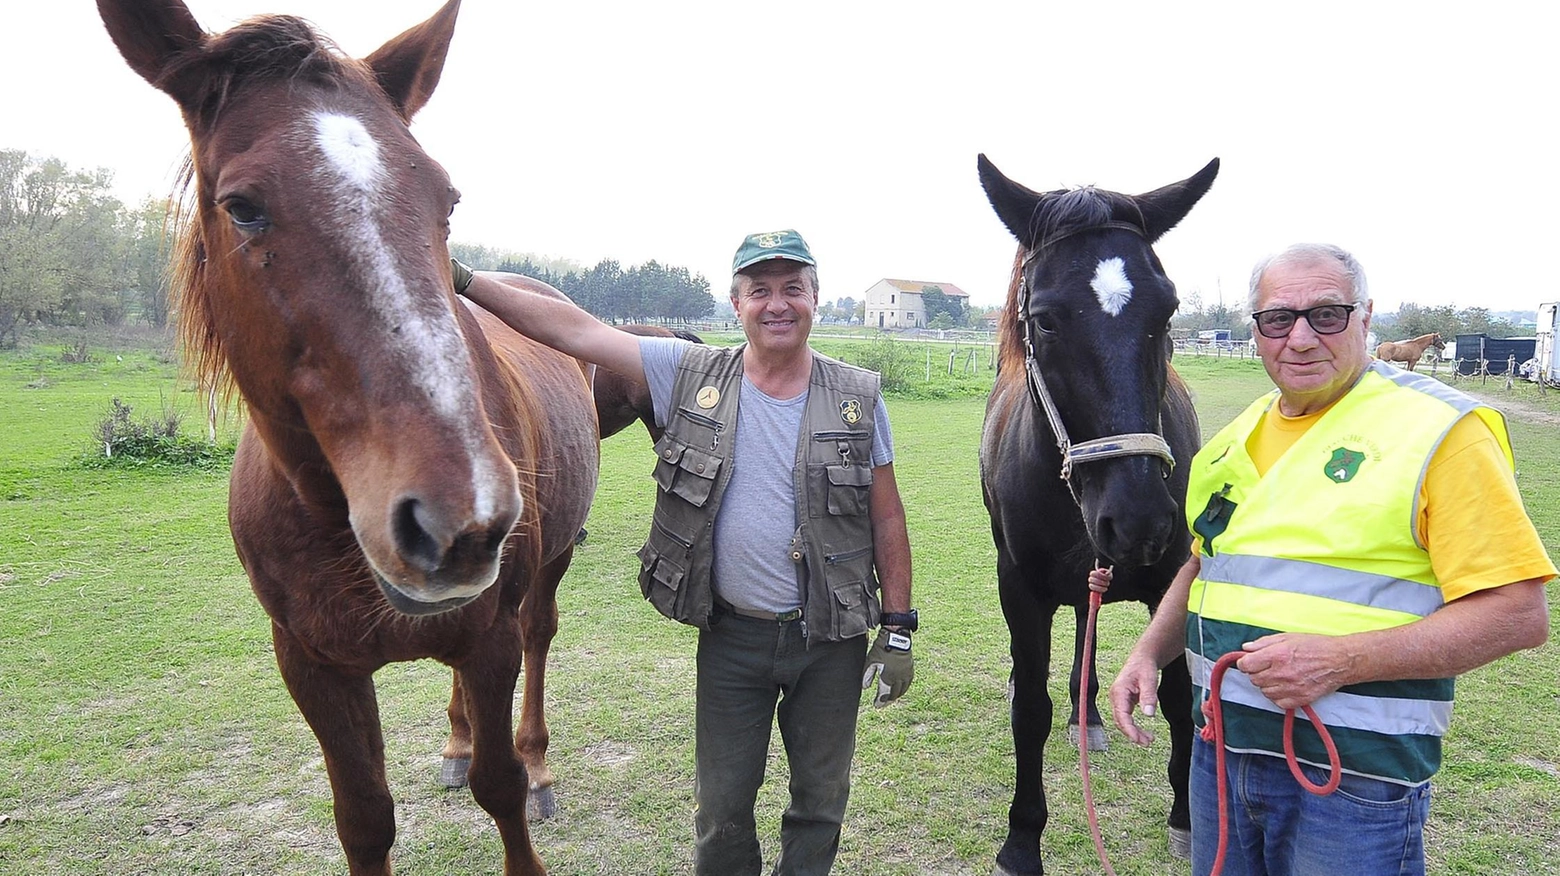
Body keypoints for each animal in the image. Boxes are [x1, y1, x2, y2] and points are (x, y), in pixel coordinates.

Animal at [97, 3, 595, 866]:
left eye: (446, 200)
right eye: (242, 205)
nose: (462, 519)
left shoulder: (490, 636)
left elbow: (501, 790)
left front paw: (515, 781)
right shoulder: (313, 665)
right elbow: (363, 818)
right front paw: (450, 755)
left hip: (544, 575)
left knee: (539, 641)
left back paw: (537, 763)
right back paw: (456, 742)